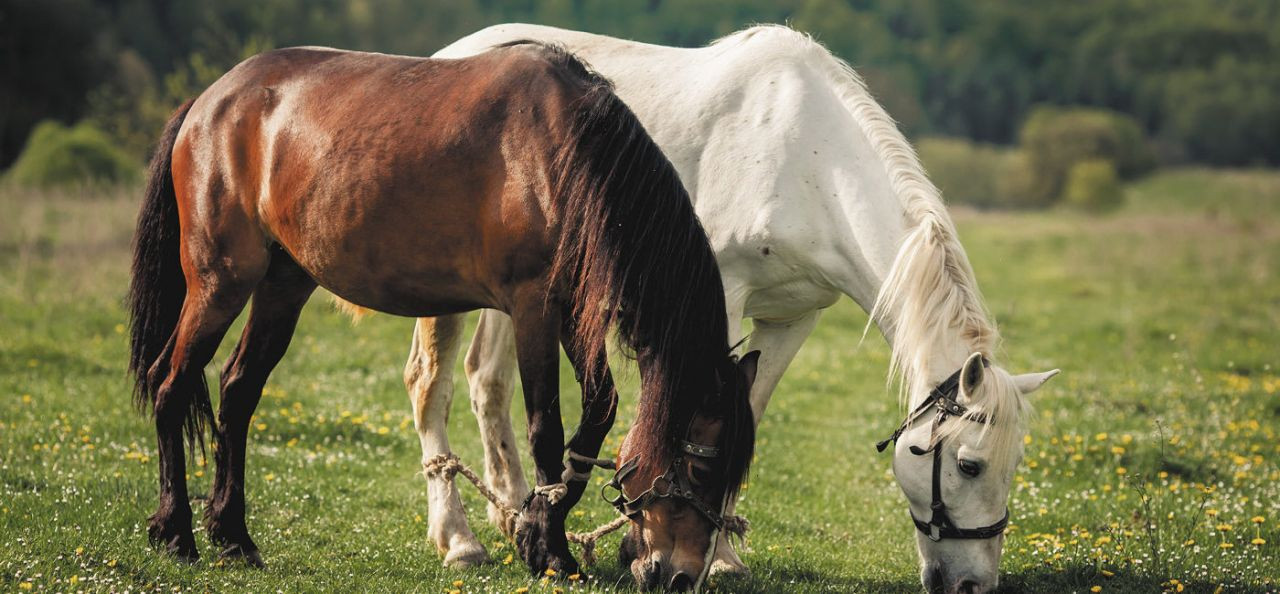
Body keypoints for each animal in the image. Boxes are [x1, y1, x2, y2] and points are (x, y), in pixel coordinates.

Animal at [124, 42, 752, 588]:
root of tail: (208, 102)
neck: (564, 154)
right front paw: (550, 550)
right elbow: (546, 428)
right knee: (171, 384)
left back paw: (233, 537)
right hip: (219, 283)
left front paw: (535, 527)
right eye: (701, 468)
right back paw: (176, 532)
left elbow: (596, 415)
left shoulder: (574, 311)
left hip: (283, 286)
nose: (681, 577)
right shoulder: (533, 309)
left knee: (237, 393)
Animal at [401, 24, 1059, 594]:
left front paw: (718, 554)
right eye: (969, 465)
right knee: (431, 386)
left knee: (488, 381)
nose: (973, 584)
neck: (809, 162)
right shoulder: (718, 302)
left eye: (1016, 464)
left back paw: (515, 514)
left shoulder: (794, 318)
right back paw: (460, 540)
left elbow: (748, 414)